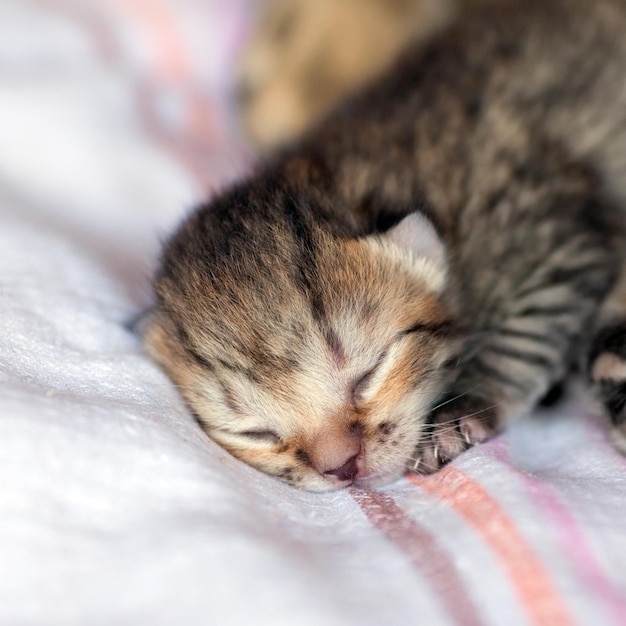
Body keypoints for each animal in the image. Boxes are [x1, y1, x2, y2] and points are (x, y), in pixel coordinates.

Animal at [144, 0, 624, 488]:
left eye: (369, 373)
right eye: (257, 433)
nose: (341, 465)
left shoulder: (550, 226)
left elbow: (522, 334)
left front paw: (458, 412)